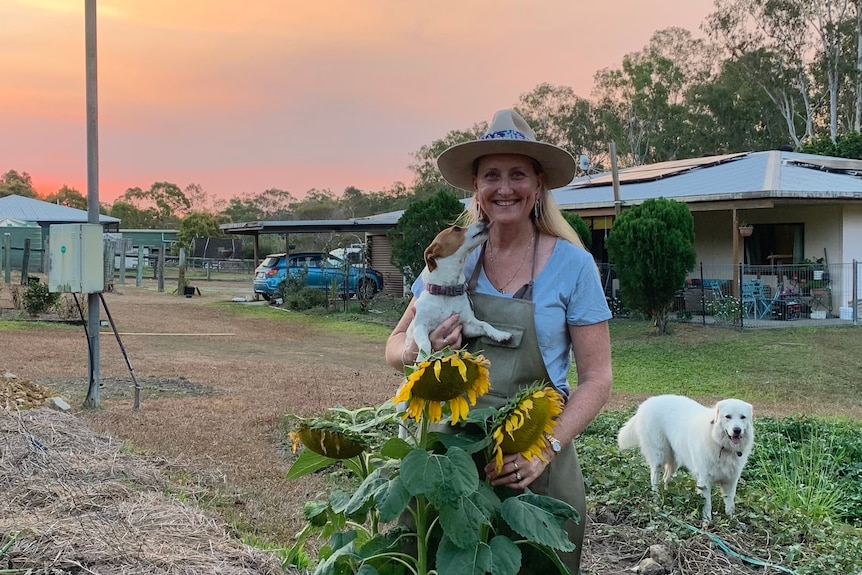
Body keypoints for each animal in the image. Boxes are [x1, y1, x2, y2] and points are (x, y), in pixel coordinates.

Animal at [406, 222, 512, 360]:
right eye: (456, 228)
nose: (484, 220)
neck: (446, 291)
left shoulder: (467, 325)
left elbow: (484, 324)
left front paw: (500, 334)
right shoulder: (420, 326)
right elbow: (426, 344)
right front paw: (422, 359)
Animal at [620, 396, 756, 520]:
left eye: (743, 417)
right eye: (728, 416)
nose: (737, 430)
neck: (720, 444)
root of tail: (646, 403)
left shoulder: (731, 481)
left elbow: (730, 505)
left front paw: (732, 522)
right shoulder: (704, 480)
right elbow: (707, 504)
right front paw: (707, 522)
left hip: (674, 460)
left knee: (666, 477)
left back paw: (666, 493)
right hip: (659, 455)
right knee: (654, 477)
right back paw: (656, 498)